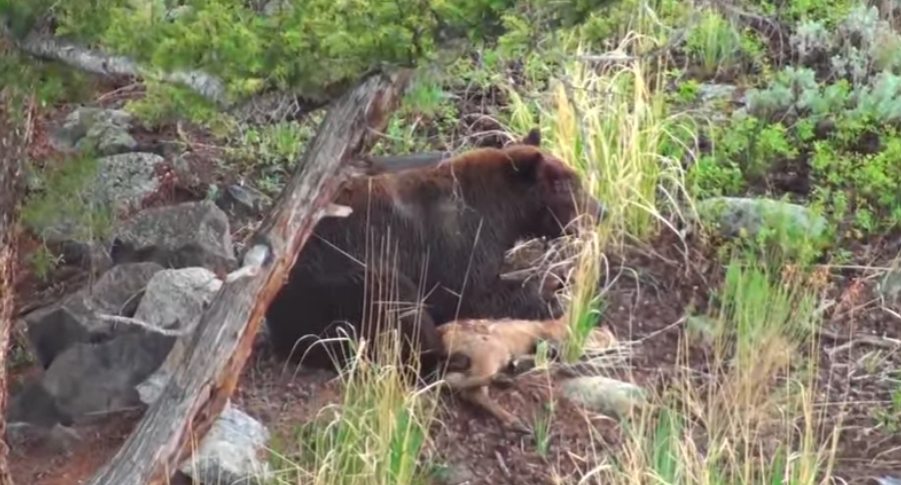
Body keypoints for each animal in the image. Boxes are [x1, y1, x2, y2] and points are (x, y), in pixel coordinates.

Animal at [268, 129, 604, 374]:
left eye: (576, 179)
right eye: (565, 186)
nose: (602, 210)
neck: (504, 214)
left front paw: (557, 279)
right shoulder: (454, 245)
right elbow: (472, 293)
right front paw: (548, 297)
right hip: (344, 283)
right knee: (398, 309)